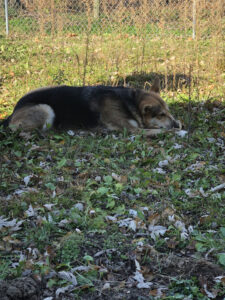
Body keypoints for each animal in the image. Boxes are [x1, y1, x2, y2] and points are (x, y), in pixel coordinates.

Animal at [1, 78, 181, 137]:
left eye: (168, 112)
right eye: (161, 115)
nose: (176, 124)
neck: (130, 103)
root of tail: (13, 112)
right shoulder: (132, 130)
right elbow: (157, 130)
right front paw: (173, 131)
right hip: (46, 109)